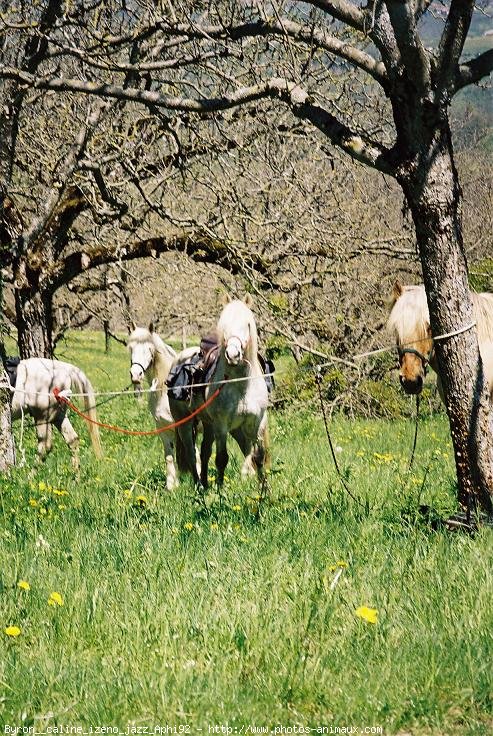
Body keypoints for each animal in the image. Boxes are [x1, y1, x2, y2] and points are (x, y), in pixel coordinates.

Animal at [127, 324, 179, 488]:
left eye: (149, 349)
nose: (136, 375)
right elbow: (169, 456)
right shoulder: (162, 427)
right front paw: (171, 486)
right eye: (131, 348)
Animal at [169, 296, 270, 486]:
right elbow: (222, 459)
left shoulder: (256, 422)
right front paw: (220, 490)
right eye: (224, 325)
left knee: (204, 452)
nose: (233, 355)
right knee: (192, 454)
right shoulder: (222, 425)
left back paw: (205, 484)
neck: (241, 384)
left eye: (247, 324)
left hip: (208, 424)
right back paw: (199, 486)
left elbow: (258, 456)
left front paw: (264, 490)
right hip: (185, 422)